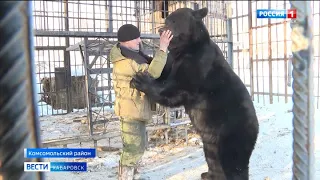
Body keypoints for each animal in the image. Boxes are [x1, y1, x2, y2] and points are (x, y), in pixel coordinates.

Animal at [131, 7, 260, 180]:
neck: (186, 48)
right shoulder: (174, 60)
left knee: (233, 163)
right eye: (167, 20)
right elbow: (163, 70)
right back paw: (207, 174)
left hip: (232, 134)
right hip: (211, 141)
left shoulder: (197, 64)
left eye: (173, 20)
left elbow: (175, 89)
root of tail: (256, 127)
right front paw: (143, 56)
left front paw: (140, 79)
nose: (160, 30)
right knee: (213, 158)